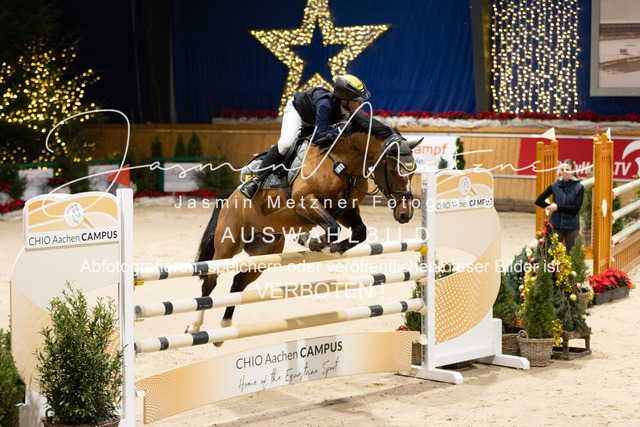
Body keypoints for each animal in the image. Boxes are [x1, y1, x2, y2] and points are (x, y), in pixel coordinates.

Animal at [188, 116, 422, 339]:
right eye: (393, 170)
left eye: (413, 173)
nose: (406, 214)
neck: (344, 162)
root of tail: (230, 197)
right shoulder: (305, 202)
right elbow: (332, 228)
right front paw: (315, 242)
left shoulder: (346, 210)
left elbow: (358, 231)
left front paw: (329, 247)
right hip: (228, 245)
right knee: (210, 280)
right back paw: (195, 326)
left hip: (264, 253)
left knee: (238, 283)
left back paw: (224, 328)